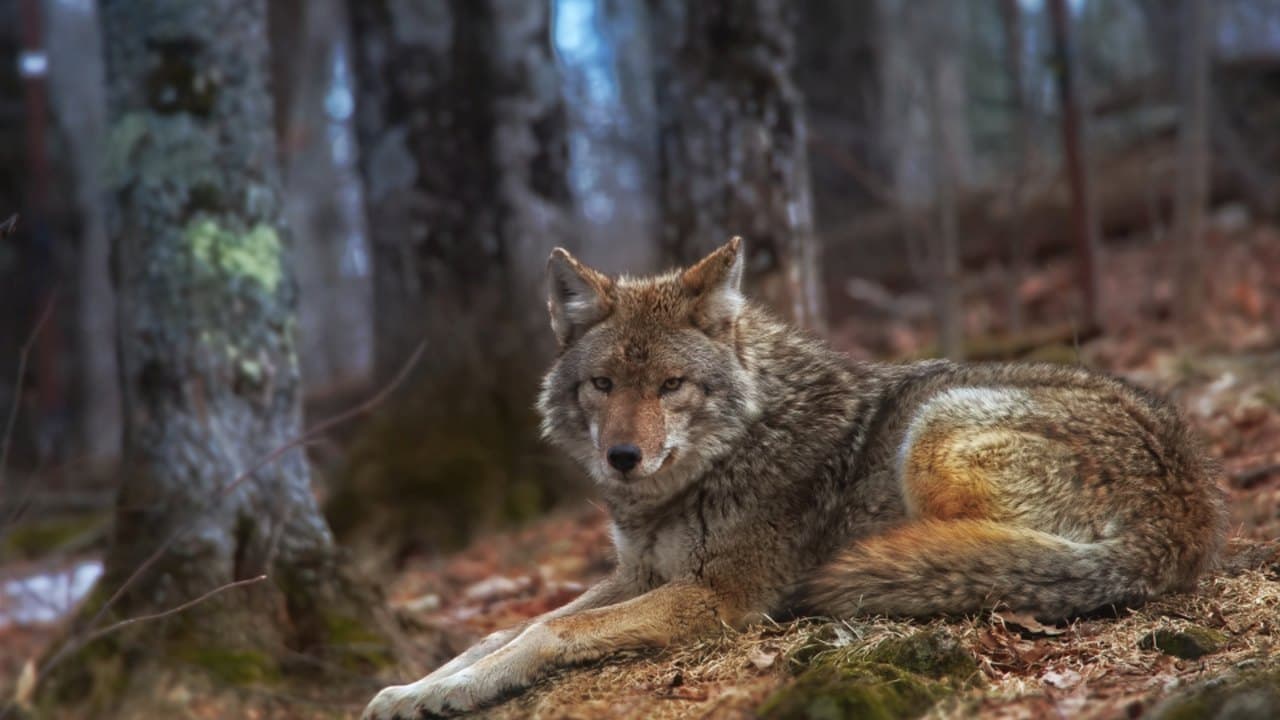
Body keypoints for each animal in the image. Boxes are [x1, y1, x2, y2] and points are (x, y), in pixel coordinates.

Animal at [364, 238, 1226, 718]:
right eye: (603, 385)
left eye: (671, 385)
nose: (622, 458)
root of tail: (1184, 509)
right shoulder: (640, 572)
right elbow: (500, 629)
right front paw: (418, 690)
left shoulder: (717, 597)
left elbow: (548, 630)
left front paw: (457, 688)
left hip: (935, 425)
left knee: (983, 559)